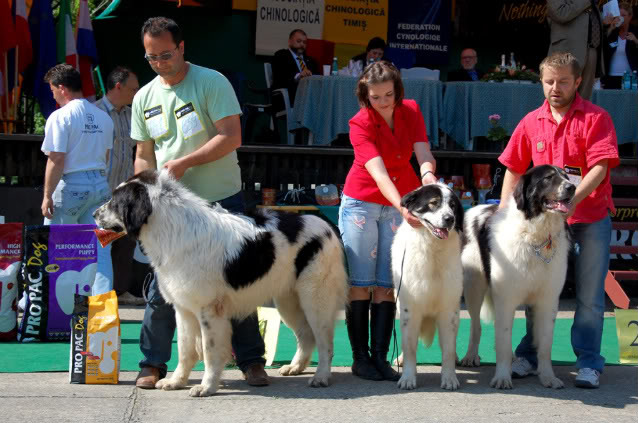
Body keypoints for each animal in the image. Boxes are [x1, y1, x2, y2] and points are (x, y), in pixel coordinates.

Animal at [94, 169, 350, 398]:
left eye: (115, 202)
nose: (95, 214)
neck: (171, 228)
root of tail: (326, 226)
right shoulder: (184, 309)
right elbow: (185, 349)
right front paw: (177, 382)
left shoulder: (209, 311)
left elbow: (209, 352)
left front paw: (206, 387)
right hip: (288, 301)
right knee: (306, 335)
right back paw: (295, 367)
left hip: (315, 300)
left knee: (324, 341)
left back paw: (321, 376)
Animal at [390, 185, 464, 390]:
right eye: (433, 203)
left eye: (453, 206)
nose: (450, 219)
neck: (432, 248)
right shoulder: (410, 309)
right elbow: (409, 347)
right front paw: (407, 378)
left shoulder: (449, 310)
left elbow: (448, 349)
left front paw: (449, 378)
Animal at [462, 166, 576, 390]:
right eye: (548, 178)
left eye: (566, 176)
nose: (572, 187)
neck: (536, 236)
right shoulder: (505, 300)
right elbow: (503, 341)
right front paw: (502, 377)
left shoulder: (548, 301)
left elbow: (545, 344)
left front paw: (548, 377)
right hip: (474, 287)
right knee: (475, 325)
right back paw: (471, 356)